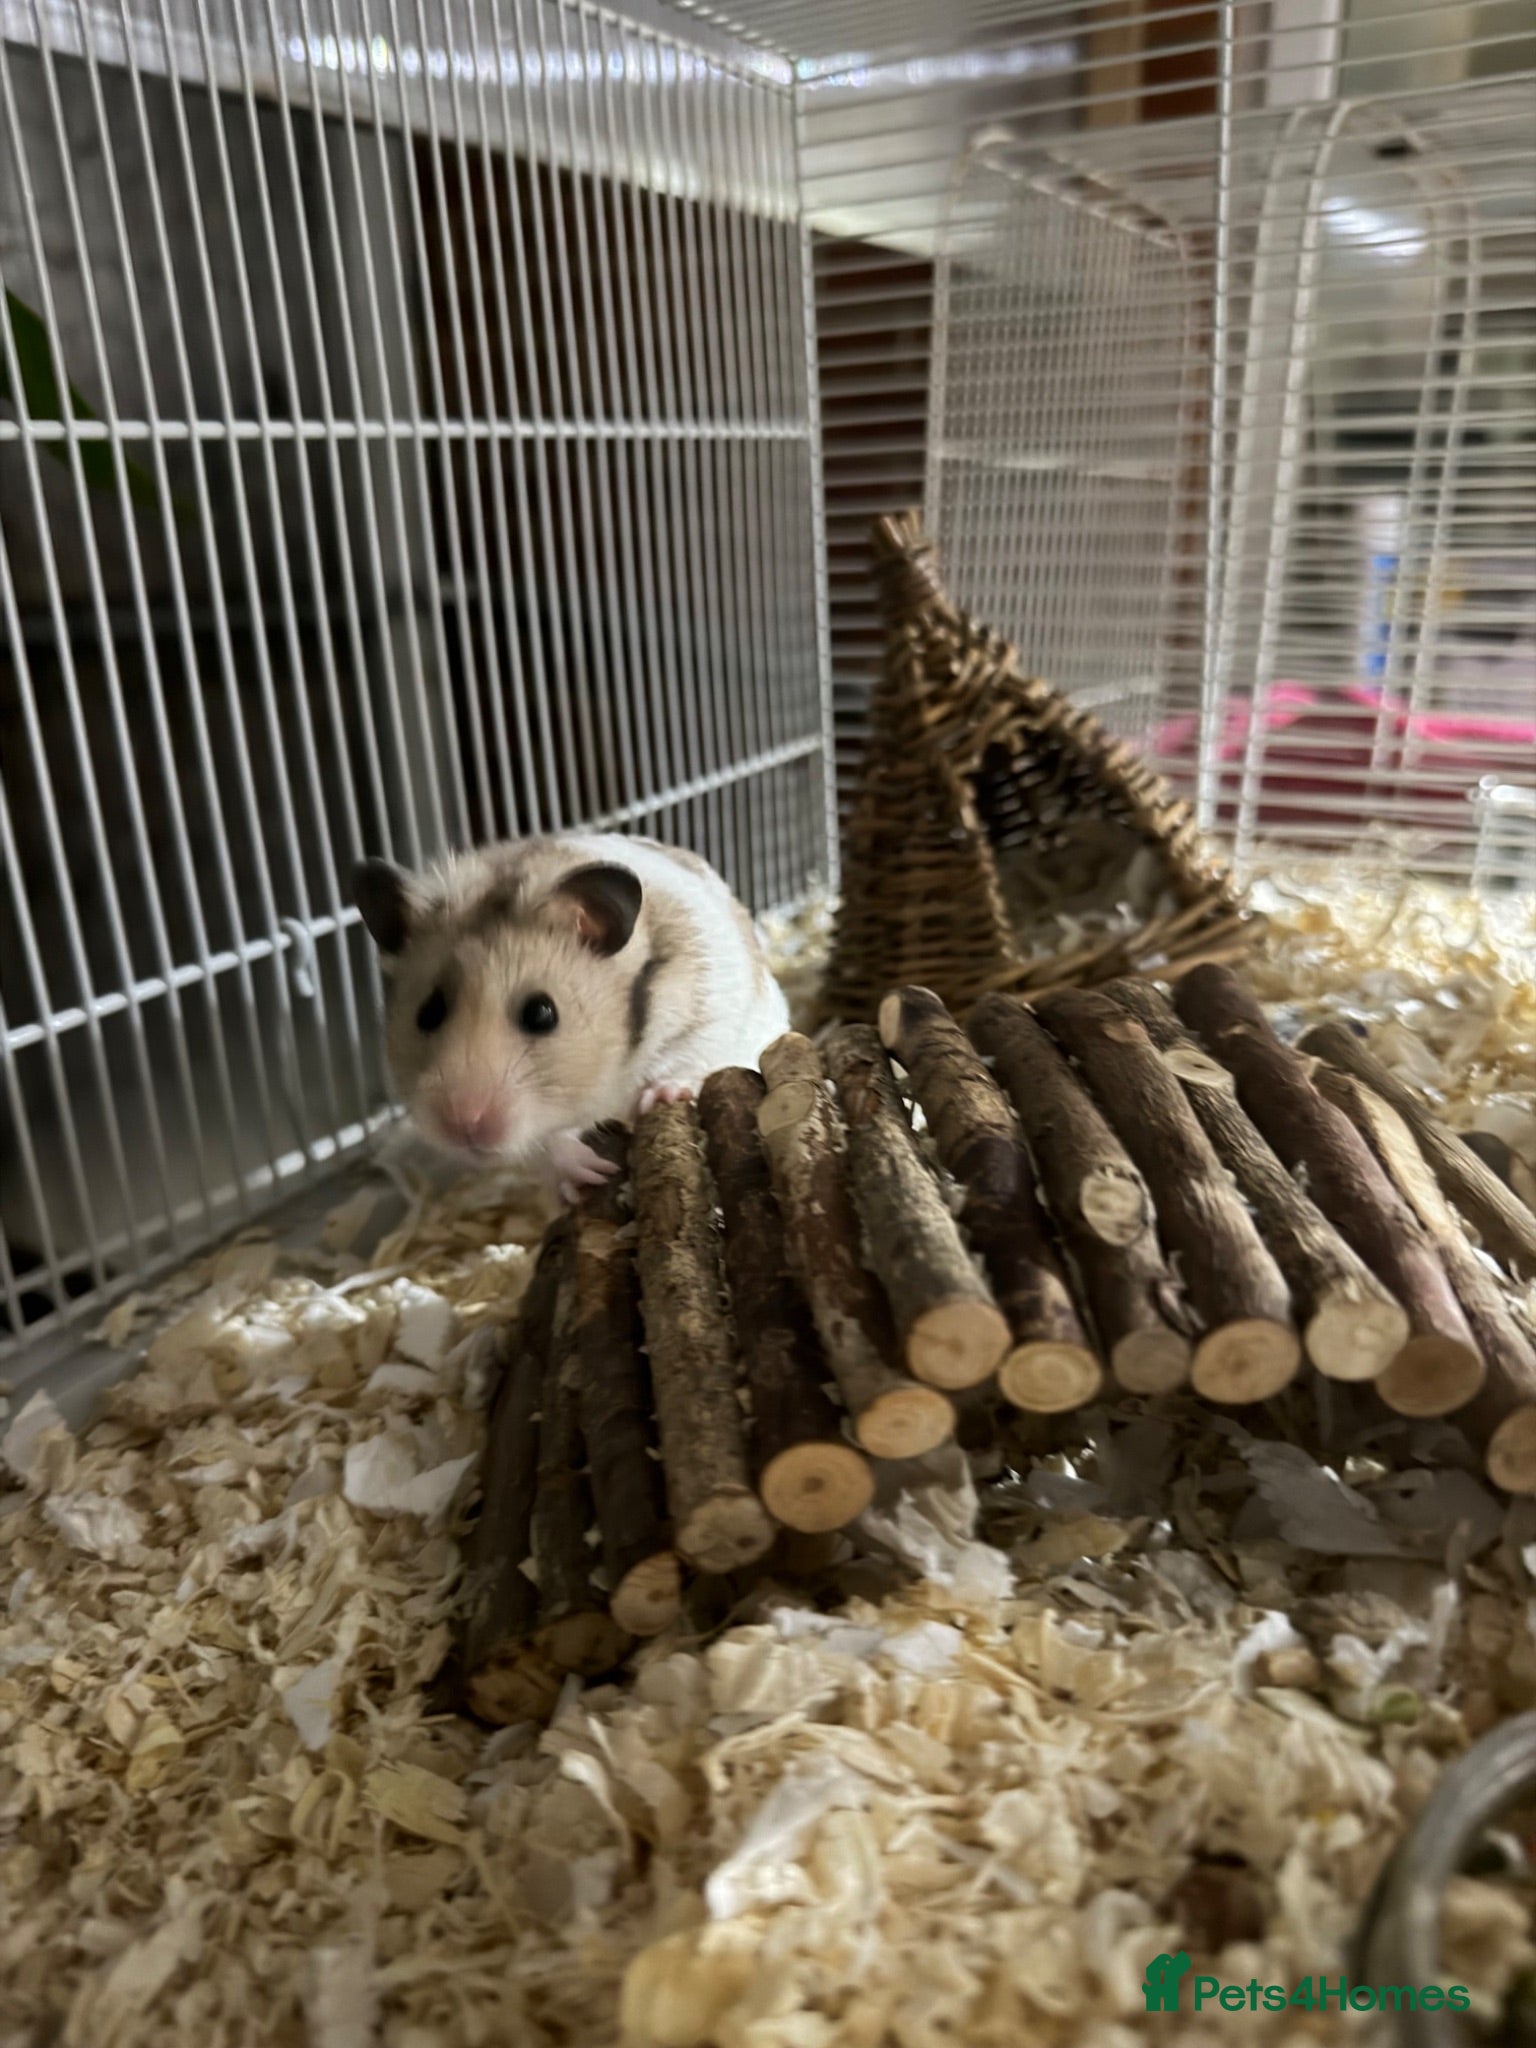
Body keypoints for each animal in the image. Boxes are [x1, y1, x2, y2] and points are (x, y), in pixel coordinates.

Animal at [352, 833, 791, 1202]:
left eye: (542, 1013)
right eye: (428, 1013)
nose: (463, 1127)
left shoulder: (711, 1007)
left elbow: (691, 1055)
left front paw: (658, 1096)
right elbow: (547, 1145)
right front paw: (590, 1174)